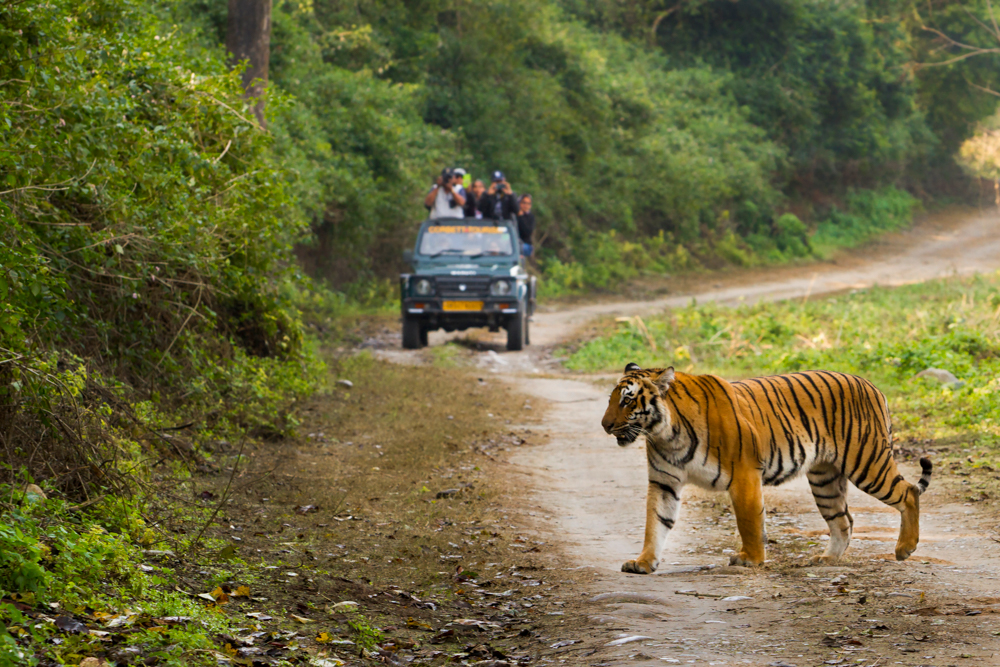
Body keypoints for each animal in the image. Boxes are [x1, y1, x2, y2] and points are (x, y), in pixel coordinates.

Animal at [600, 366, 936, 576]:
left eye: (627, 400)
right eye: (611, 399)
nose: (605, 425)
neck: (665, 434)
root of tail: (872, 385)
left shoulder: (744, 473)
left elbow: (748, 521)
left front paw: (750, 559)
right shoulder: (664, 482)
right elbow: (655, 523)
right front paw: (644, 562)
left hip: (867, 462)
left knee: (908, 492)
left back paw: (905, 548)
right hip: (825, 479)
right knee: (844, 520)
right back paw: (827, 559)